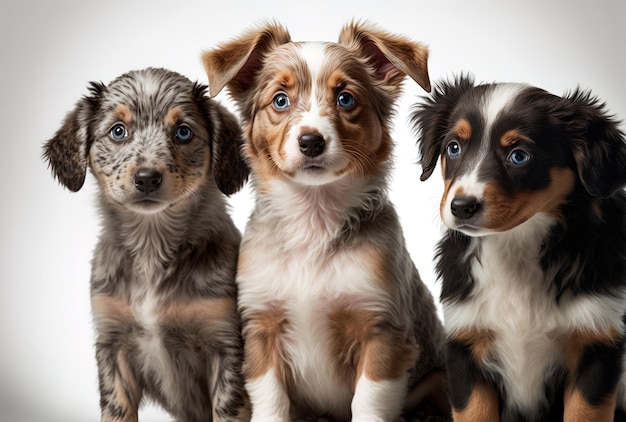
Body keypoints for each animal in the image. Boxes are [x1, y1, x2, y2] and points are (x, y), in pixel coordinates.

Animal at [42, 67, 249, 420]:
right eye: (118, 131)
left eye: (183, 132)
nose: (147, 178)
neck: (152, 245)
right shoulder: (113, 344)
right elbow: (116, 409)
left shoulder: (225, 345)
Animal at [202, 21, 446, 420]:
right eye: (280, 100)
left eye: (345, 99)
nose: (311, 142)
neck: (313, 219)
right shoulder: (261, 328)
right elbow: (271, 401)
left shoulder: (382, 331)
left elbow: (368, 403)